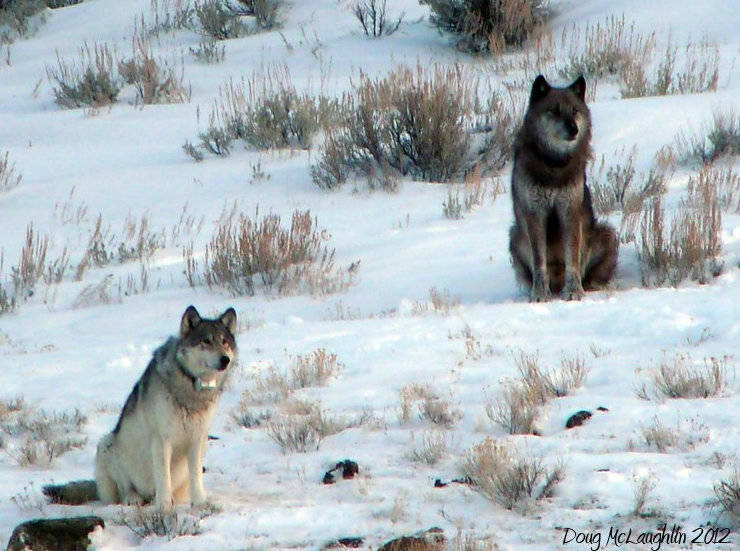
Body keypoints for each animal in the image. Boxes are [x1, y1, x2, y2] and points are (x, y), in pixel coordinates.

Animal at [43, 305, 237, 509]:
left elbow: (196, 477)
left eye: (224, 342)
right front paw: (164, 508)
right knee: (124, 490)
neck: (191, 388)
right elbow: (163, 478)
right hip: (108, 445)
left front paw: (200, 504)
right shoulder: (161, 439)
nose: (225, 359)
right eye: (206, 341)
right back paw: (133, 499)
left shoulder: (198, 439)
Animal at [509, 74, 618, 301]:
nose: (574, 129)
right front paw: (540, 295)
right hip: (515, 236)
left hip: (606, 233)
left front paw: (574, 292)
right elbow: (539, 262)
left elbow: (572, 260)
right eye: (555, 110)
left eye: (574, 111)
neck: (554, 165)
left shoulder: (569, 211)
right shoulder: (535, 213)